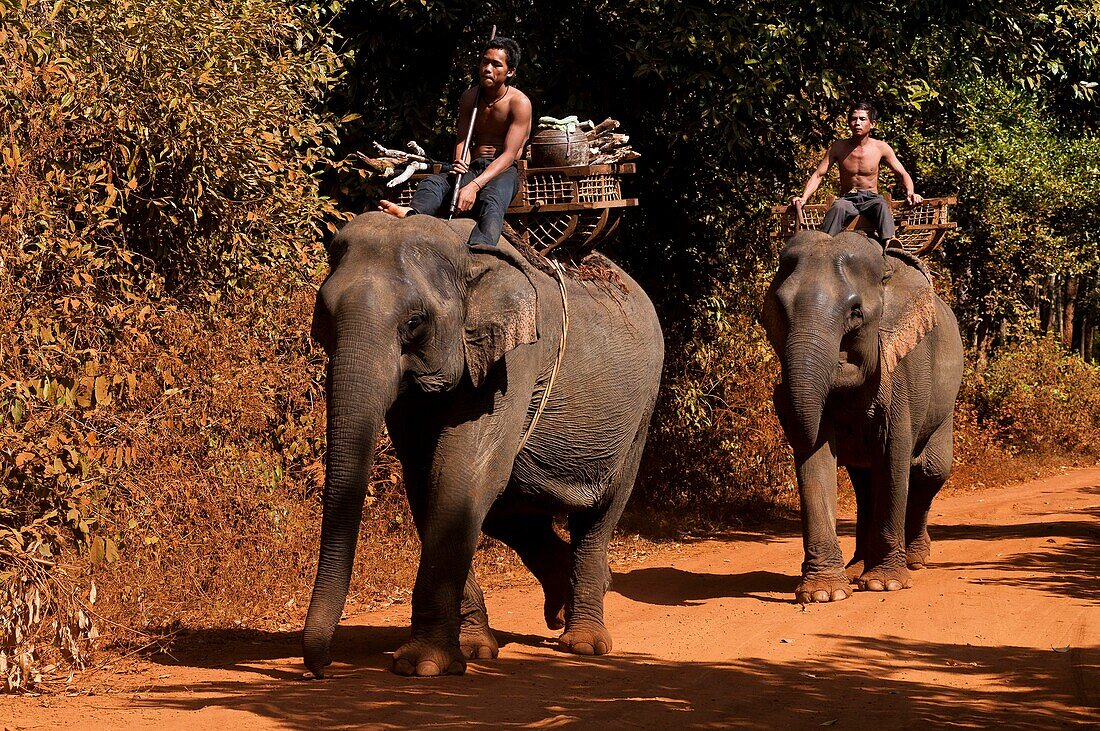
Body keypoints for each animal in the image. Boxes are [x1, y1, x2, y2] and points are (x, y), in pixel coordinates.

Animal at [301, 211, 660, 677]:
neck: (467, 256)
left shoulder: (516, 359)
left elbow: (461, 475)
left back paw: (583, 642)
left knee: (599, 515)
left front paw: (422, 666)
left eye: (414, 322)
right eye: (324, 315)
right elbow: (428, 482)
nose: (321, 668)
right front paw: (471, 651)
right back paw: (562, 604)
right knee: (514, 514)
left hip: (639, 417)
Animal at [765, 230, 963, 602]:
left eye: (856, 313)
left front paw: (884, 584)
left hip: (947, 400)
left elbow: (894, 454)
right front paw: (824, 593)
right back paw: (857, 567)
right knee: (864, 481)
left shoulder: (903, 366)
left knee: (928, 470)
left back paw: (914, 561)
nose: (777, 391)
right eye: (779, 309)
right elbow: (816, 455)